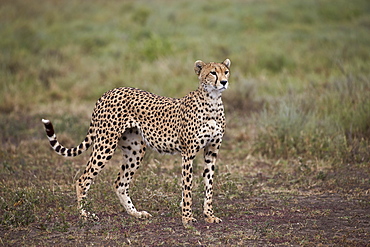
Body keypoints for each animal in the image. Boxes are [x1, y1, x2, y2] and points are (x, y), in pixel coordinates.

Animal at [41, 58, 231, 226]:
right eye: (213, 72)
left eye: (226, 71)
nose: (224, 82)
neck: (213, 102)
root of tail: (109, 92)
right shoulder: (188, 153)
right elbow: (187, 188)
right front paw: (187, 218)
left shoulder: (211, 152)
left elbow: (209, 186)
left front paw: (209, 215)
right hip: (106, 144)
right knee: (83, 179)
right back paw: (84, 214)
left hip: (135, 149)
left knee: (120, 183)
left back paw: (135, 213)